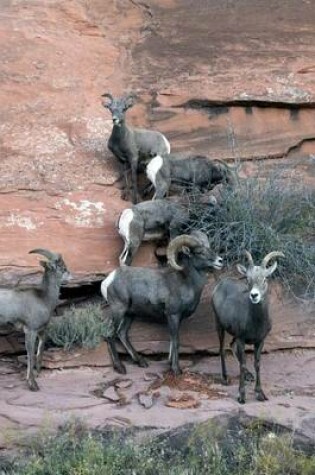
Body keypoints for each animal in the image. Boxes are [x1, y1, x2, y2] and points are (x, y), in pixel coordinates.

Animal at [0, 249, 69, 390]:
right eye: (60, 266)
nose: (69, 274)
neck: (44, 299)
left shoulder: (41, 331)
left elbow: (38, 352)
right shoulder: (30, 331)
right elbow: (30, 355)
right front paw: (33, 385)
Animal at [212, 251, 286, 404]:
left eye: (265, 279)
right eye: (247, 279)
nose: (254, 295)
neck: (255, 322)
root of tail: (220, 284)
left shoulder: (260, 341)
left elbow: (257, 364)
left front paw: (260, 394)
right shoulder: (242, 339)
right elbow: (243, 363)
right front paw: (241, 396)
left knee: (231, 345)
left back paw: (248, 376)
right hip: (219, 325)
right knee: (222, 349)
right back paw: (225, 378)